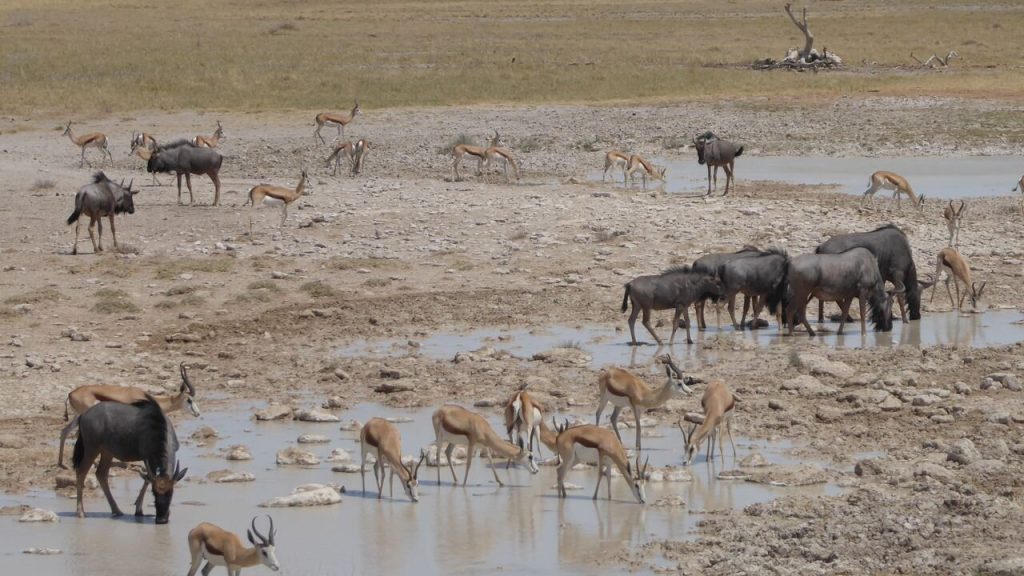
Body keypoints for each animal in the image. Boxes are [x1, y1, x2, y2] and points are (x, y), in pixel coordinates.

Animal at [58, 362, 199, 468]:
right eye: (189, 400)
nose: (197, 413)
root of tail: (71, 393)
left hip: (78, 416)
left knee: (64, 431)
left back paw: (61, 463)